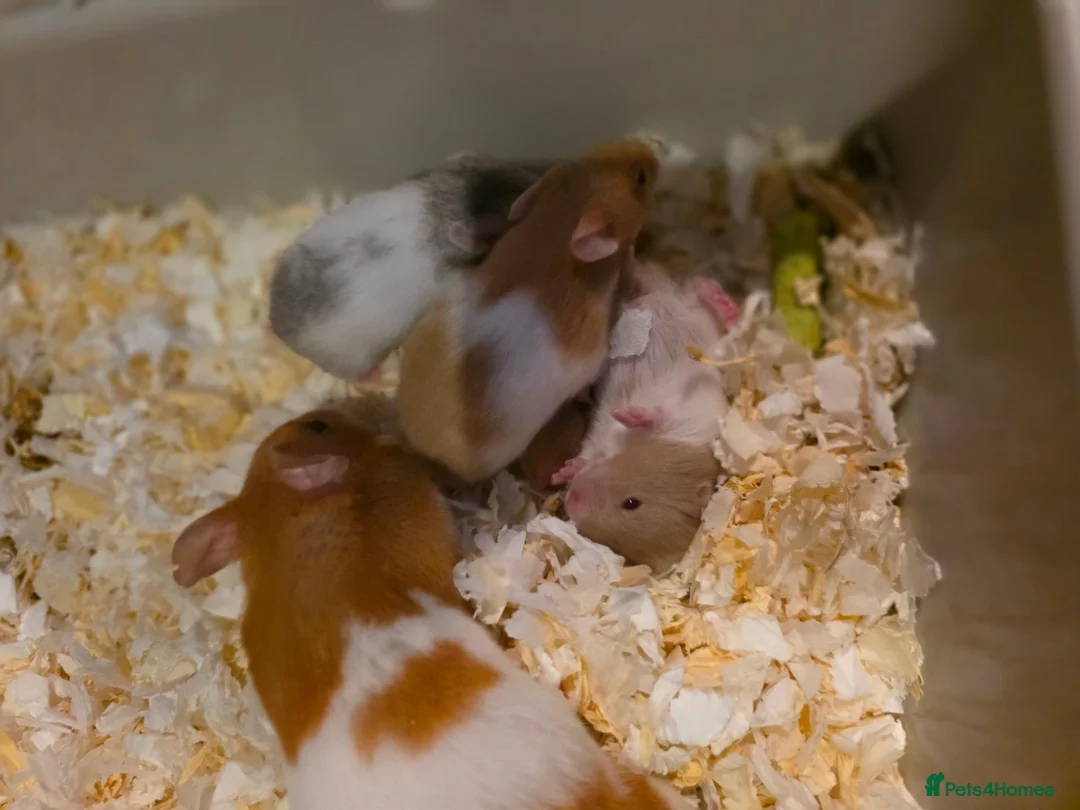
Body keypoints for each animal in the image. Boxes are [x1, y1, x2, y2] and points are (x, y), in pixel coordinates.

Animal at [268, 158, 549, 382]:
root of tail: (276, 324)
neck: (445, 207)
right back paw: (378, 376)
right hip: (349, 358)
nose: (542, 177)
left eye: (515, 173)